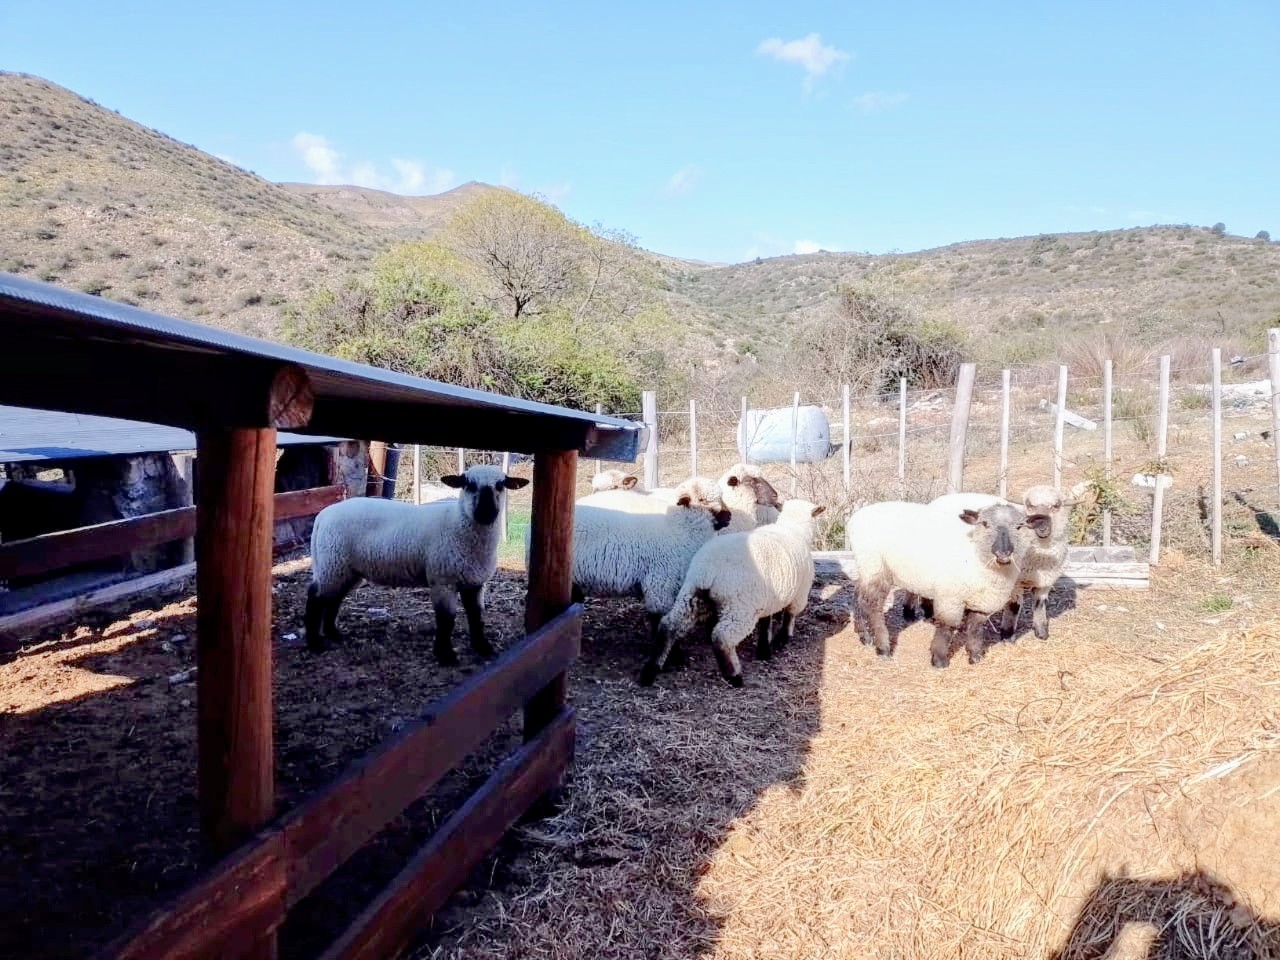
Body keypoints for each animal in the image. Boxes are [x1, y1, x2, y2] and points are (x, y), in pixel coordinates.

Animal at [304, 464, 528, 664]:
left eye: (501, 485)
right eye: (469, 485)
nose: (486, 512)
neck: (459, 523)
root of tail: (324, 515)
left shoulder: (474, 582)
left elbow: (476, 617)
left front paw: (482, 647)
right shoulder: (442, 581)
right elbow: (446, 620)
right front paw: (445, 654)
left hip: (344, 568)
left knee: (334, 599)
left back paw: (333, 633)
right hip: (332, 563)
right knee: (316, 597)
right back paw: (314, 643)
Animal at [642, 499, 825, 688]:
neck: (794, 529)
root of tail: (707, 570)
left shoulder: (769, 599)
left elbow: (766, 623)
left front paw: (764, 650)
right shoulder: (799, 595)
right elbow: (789, 616)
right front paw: (783, 638)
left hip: (692, 595)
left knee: (667, 626)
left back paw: (651, 669)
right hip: (740, 607)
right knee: (722, 637)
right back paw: (734, 676)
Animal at [847, 500, 1050, 668]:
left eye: (1020, 526)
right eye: (984, 524)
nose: (1003, 553)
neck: (976, 555)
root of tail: (855, 517)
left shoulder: (982, 602)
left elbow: (976, 628)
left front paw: (975, 656)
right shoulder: (950, 596)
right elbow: (947, 627)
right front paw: (939, 659)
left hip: (866, 568)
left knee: (858, 597)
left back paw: (864, 636)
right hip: (875, 566)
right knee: (872, 606)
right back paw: (883, 647)